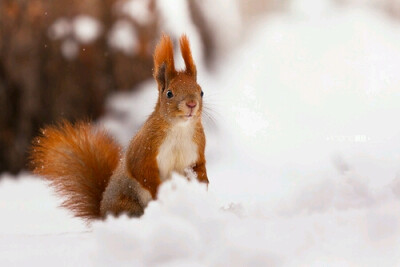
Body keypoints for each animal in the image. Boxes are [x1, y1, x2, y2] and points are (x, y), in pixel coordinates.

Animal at [30, 34, 209, 221]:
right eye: (169, 93)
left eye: (201, 91)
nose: (191, 104)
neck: (180, 128)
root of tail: (103, 215)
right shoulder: (145, 147)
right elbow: (141, 170)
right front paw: (160, 192)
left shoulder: (198, 148)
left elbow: (200, 166)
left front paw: (203, 184)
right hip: (127, 204)